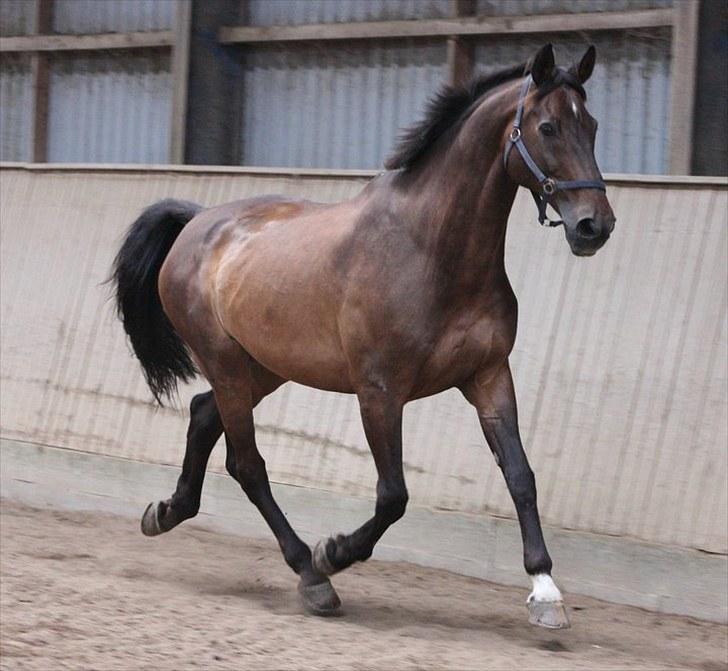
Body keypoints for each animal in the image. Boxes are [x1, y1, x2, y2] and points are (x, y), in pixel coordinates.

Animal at [111, 43, 615, 629]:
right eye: (547, 126)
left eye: (592, 126)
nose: (594, 227)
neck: (430, 251)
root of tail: (197, 222)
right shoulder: (380, 390)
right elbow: (393, 495)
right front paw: (334, 551)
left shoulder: (488, 377)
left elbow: (520, 476)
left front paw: (545, 592)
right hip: (230, 365)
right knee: (247, 465)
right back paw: (311, 574)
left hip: (262, 367)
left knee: (202, 416)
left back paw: (166, 512)